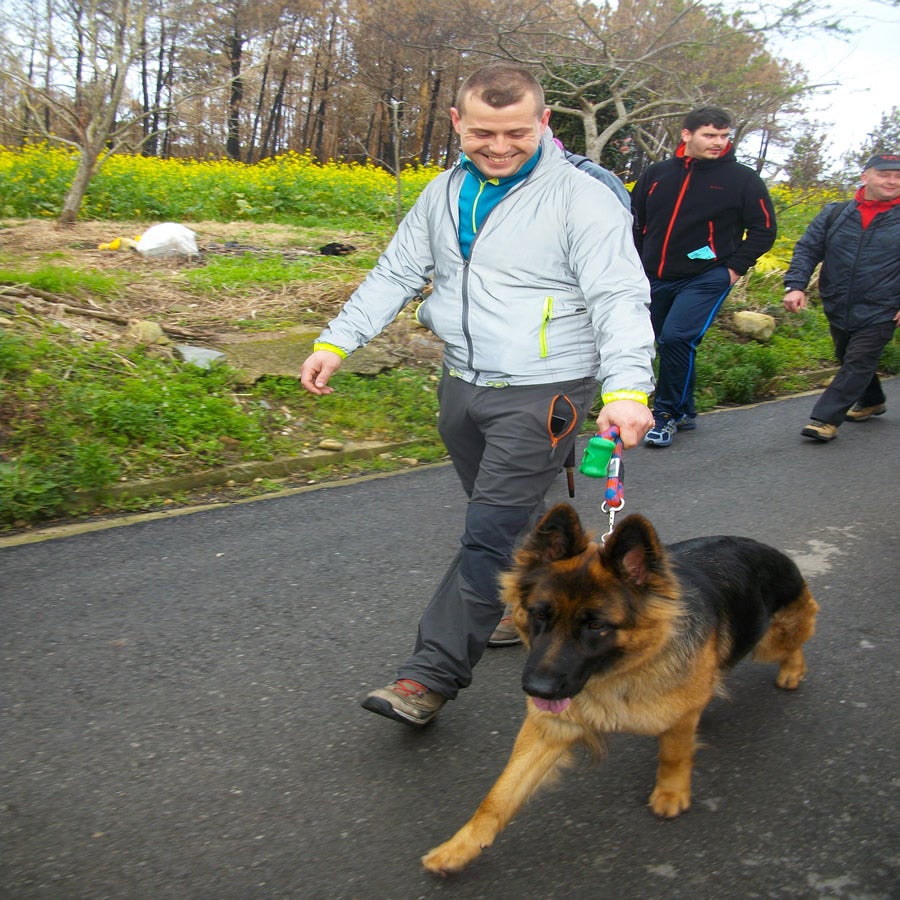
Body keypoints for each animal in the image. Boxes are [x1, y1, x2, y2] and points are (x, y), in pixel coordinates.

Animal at [420, 502, 816, 876]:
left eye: (596, 625)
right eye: (539, 615)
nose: (536, 690)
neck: (620, 672)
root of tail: (766, 549)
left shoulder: (677, 717)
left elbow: (673, 755)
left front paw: (671, 792)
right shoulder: (550, 728)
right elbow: (499, 796)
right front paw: (460, 847)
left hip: (769, 641)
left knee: (796, 641)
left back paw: (792, 671)